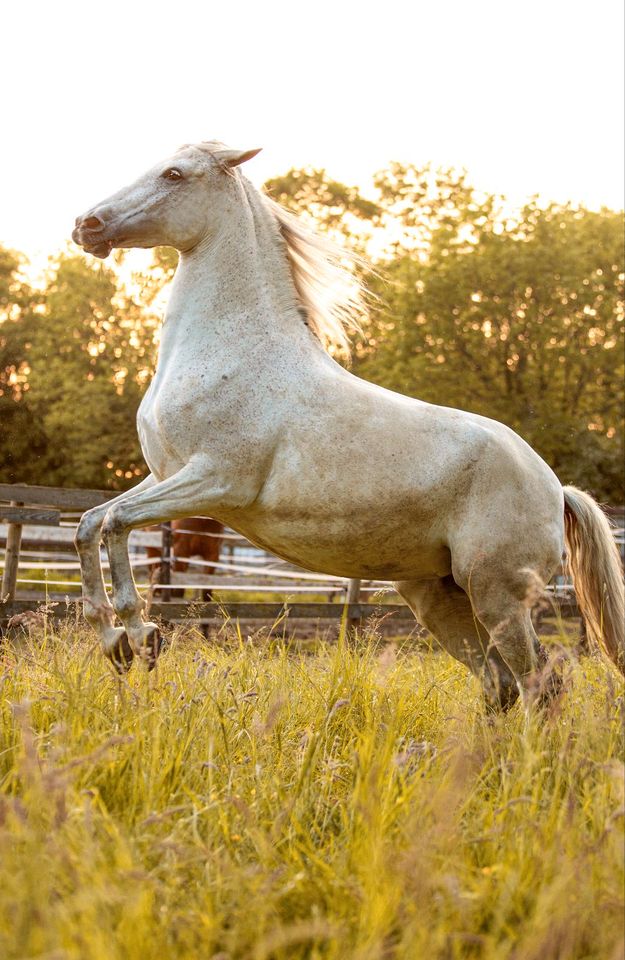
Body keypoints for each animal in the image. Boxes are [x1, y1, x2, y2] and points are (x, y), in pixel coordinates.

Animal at [70, 141, 620, 704]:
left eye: (175, 174)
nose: (87, 225)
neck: (231, 351)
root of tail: (555, 488)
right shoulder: (166, 475)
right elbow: (90, 523)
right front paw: (113, 640)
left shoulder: (215, 482)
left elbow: (115, 523)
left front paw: (142, 635)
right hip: (437, 595)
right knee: (500, 686)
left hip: (498, 596)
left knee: (542, 685)